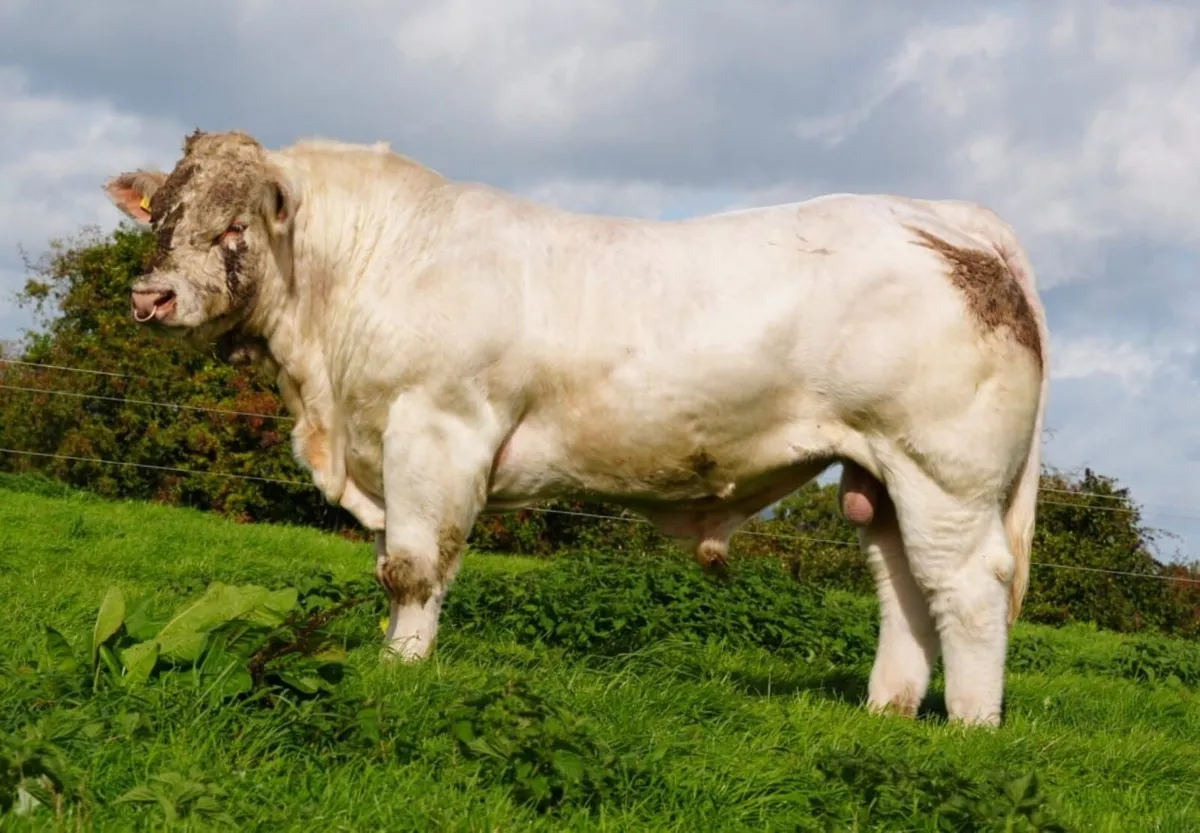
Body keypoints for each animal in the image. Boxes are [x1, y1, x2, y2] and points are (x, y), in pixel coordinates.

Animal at [103, 129, 1048, 727]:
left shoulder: (435, 429)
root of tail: (952, 218)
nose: (151, 296)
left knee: (966, 588)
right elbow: (393, 565)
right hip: (880, 474)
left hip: (944, 471)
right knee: (904, 587)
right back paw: (887, 710)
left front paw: (400, 672)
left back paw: (971, 725)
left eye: (235, 223)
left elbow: (412, 568)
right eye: (161, 215)